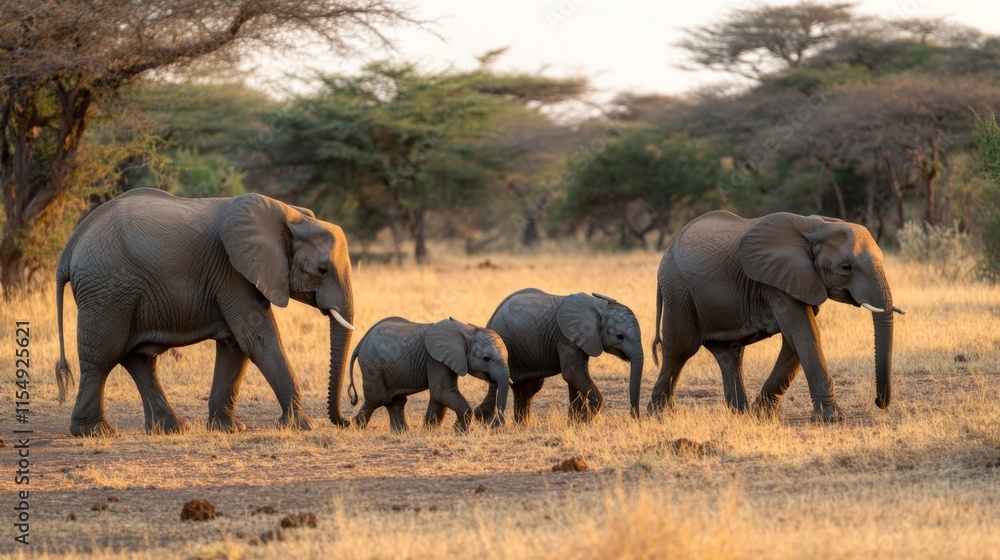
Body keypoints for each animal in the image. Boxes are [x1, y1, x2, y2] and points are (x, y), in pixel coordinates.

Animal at [53, 188, 356, 436]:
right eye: (322, 270)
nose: (348, 419)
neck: (291, 217)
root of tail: (71, 246)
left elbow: (235, 344)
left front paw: (229, 428)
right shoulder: (232, 272)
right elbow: (256, 337)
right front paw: (302, 426)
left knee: (137, 357)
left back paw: (172, 429)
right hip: (107, 291)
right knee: (102, 357)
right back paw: (96, 432)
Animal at [345, 317, 510, 432]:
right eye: (486, 359)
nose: (495, 426)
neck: (467, 331)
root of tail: (360, 343)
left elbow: (439, 397)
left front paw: (429, 431)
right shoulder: (436, 359)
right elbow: (442, 391)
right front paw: (460, 431)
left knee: (395, 401)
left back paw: (401, 433)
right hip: (373, 366)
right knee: (377, 399)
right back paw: (352, 428)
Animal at [475, 288, 644, 424]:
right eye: (620, 336)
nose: (635, 418)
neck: (599, 307)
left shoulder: (578, 339)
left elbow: (574, 379)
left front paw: (576, 423)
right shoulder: (566, 338)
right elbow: (573, 375)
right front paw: (586, 421)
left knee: (528, 387)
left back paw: (521, 425)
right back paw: (486, 420)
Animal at [648, 210, 905, 422]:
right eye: (846, 268)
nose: (879, 402)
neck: (816, 227)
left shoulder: (801, 279)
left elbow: (796, 339)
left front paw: (762, 413)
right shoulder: (776, 282)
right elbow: (805, 333)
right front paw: (832, 418)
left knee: (729, 353)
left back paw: (741, 413)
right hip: (678, 290)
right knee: (680, 350)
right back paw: (660, 414)